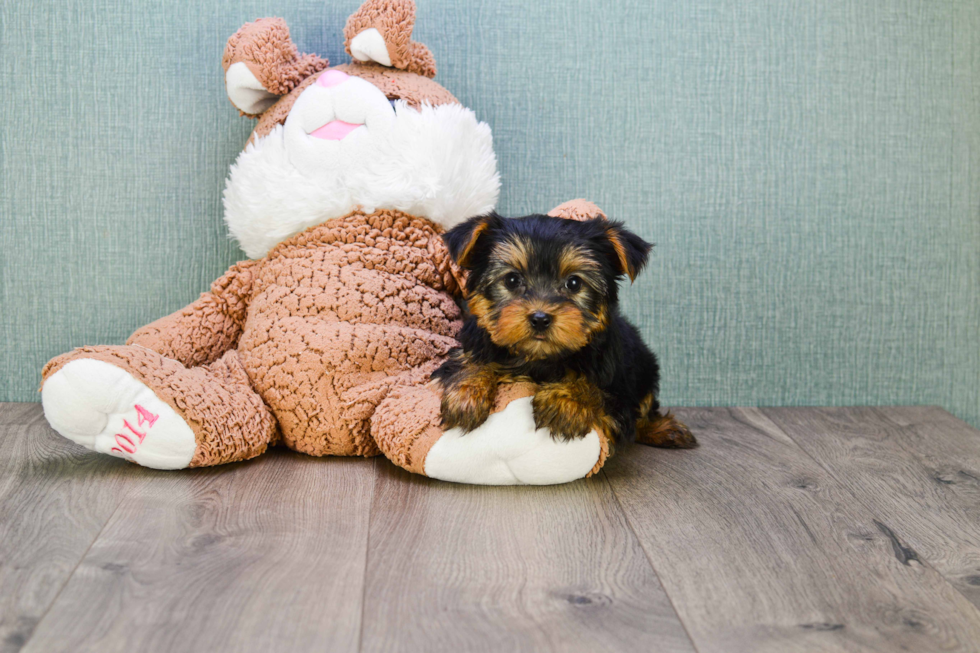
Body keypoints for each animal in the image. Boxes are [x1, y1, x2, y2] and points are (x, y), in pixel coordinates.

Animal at [430, 213, 696, 448]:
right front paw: (468, 392)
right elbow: (470, 359)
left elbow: (599, 389)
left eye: (574, 283)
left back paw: (665, 430)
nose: (540, 318)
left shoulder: (618, 386)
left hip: (644, 364)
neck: (538, 358)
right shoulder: (473, 342)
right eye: (512, 280)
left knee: (645, 407)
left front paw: (566, 399)